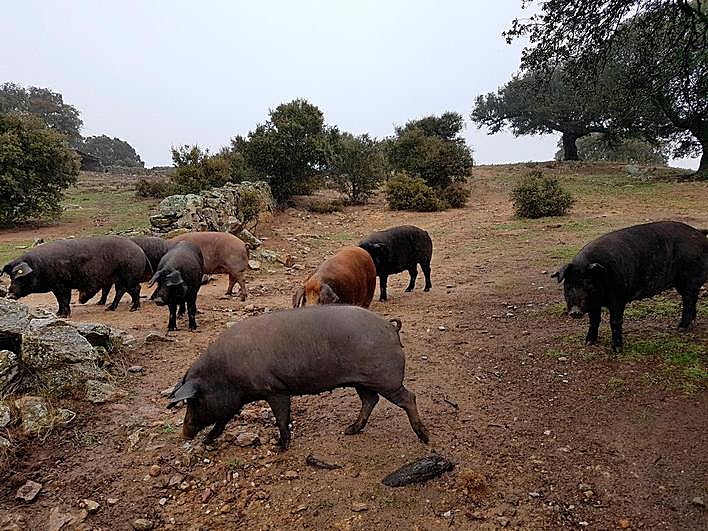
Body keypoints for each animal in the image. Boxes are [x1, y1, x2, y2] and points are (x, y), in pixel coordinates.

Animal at [1, 236, 148, 317]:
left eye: (20, 277)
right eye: (11, 277)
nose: (9, 294)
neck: (38, 267)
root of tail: (139, 250)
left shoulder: (62, 284)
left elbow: (64, 299)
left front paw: (64, 316)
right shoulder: (55, 287)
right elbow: (59, 300)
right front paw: (58, 314)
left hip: (130, 276)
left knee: (136, 289)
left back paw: (133, 309)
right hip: (120, 279)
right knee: (121, 291)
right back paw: (110, 309)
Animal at [166, 305, 429, 449]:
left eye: (193, 401)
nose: (184, 434)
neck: (226, 375)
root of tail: (390, 327)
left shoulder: (274, 389)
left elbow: (282, 418)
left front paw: (280, 447)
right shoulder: (235, 402)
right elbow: (222, 421)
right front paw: (207, 441)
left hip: (386, 378)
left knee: (409, 397)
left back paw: (424, 438)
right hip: (362, 381)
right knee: (370, 400)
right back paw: (349, 430)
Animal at [552, 221, 708, 352]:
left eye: (588, 284)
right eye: (568, 286)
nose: (575, 312)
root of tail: (700, 234)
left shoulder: (618, 298)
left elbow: (615, 321)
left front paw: (617, 350)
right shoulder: (593, 303)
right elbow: (594, 320)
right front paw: (588, 343)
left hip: (689, 280)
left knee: (688, 301)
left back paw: (681, 328)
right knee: (692, 300)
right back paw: (690, 324)